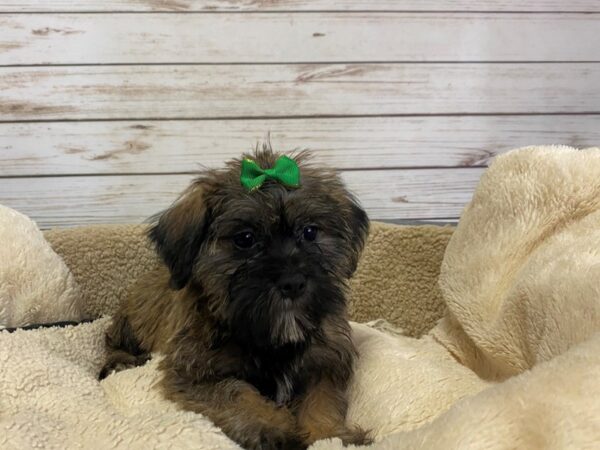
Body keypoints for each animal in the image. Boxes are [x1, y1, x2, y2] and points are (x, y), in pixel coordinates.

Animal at [99, 146, 370, 448]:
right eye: (245, 239)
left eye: (310, 232)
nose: (293, 283)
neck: (268, 335)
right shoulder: (197, 373)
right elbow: (237, 394)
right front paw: (273, 427)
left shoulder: (324, 362)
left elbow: (322, 401)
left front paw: (329, 435)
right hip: (133, 319)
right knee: (114, 342)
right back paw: (120, 362)